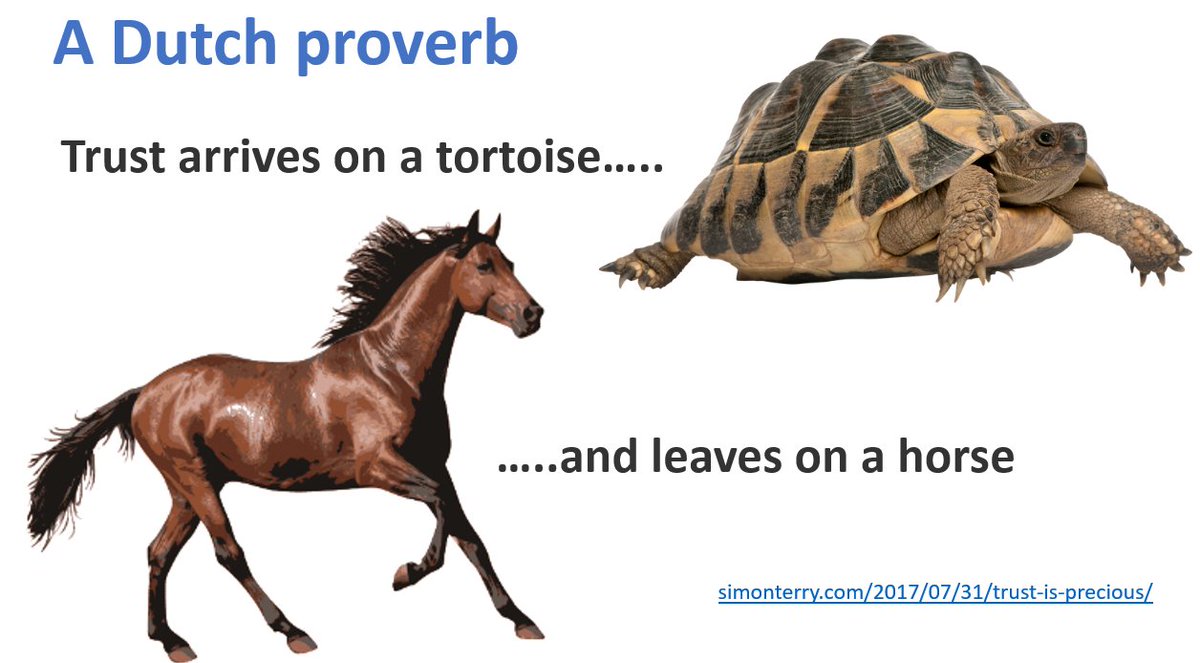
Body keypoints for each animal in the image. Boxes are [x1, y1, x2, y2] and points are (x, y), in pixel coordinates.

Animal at [27, 211, 545, 661]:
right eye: (484, 265)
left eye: (511, 263)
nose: (533, 314)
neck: (391, 370)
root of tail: (143, 393)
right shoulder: (378, 467)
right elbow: (439, 510)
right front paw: (405, 574)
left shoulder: (436, 465)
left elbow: (469, 536)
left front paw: (522, 620)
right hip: (195, 481)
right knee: (228, 552)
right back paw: (293, 631)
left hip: (186, 491)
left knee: (159, 552)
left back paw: (172, 641)